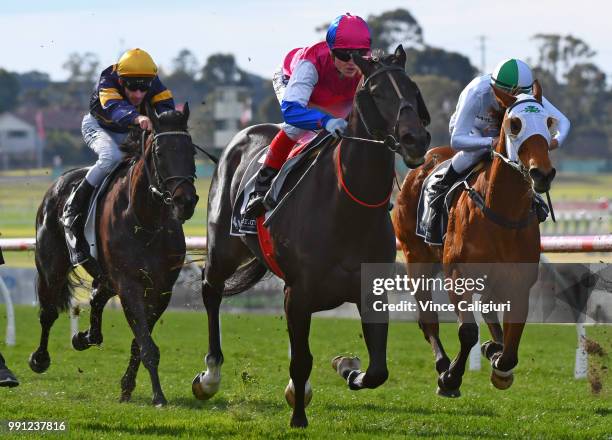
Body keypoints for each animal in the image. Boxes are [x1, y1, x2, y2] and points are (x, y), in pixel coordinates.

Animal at [29, 106, 198, 406]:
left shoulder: (161, 289)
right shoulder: (129, 284)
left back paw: (84, 337)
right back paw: (40, 358)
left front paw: (128, 386)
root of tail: (58, 182)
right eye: (159, 152)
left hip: (106, 275)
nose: (185, 201)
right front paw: (158, 396)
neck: (146, 220)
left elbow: (139, 342)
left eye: (190, 151)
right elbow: (146, 344)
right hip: (51, 266)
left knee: (96, 297)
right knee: (48, 312)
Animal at [191, 46, 430, 428]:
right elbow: (301, 360)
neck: (348, 208)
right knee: (210, 291)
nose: (415, 140)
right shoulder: (299, 291)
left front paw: (346, 367)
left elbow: (377, 370)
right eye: (377, 92)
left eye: (413, 89)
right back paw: (210, 377)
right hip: (223, 249)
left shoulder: (369, 291)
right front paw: (298, 418)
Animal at [394, 81, 556, 398]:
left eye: (548, 122)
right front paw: (450, 379)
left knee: (489, 306)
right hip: (415, 258)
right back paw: (443, 364)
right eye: (515, 124)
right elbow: (467, 331)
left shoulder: (519, 279)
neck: (502, 213)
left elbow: (513, 337)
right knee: (428, 320)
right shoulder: (458, 274)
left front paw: (500, 362)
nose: (542, 173)